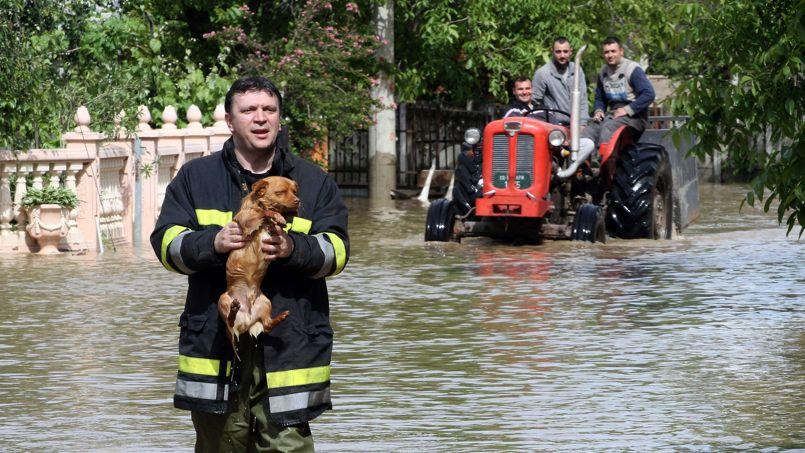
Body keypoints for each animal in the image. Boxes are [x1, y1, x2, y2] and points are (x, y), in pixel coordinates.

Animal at [217, 177, 298, 356]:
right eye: (281, 192)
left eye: (295, 192)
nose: (298, 201)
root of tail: (246, 321)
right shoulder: (247, 221)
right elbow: (263, 213)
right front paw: (276, 216)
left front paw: (280, 219)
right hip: (223, 299)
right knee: (229, 322)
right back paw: (233, 310)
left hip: (265, 302)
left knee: (267, 325)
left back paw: (281, 317)